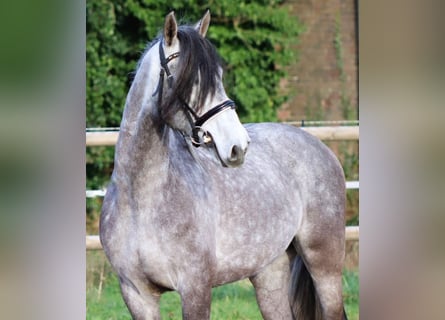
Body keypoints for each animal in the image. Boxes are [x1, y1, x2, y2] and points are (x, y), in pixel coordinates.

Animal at [100, 10, 346, 320]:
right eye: (192, 82)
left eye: (218, 78)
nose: (238, 146)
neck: (141, 200)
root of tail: (320, 146)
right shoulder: (136, 294)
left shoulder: (195, 287)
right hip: (269, 272)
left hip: (324, 265)